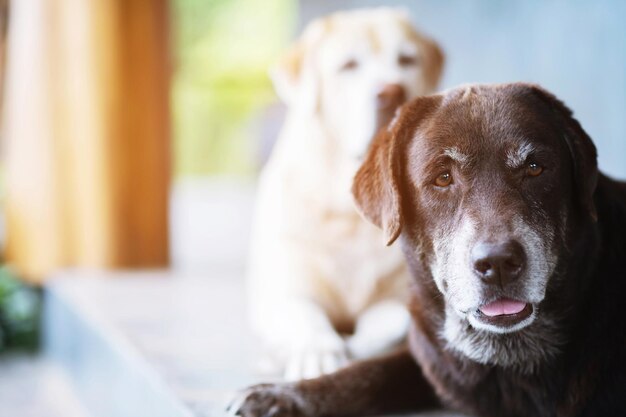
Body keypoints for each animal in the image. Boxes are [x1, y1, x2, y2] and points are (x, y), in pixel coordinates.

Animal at [229, 83, 624, 416]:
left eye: (535, 168)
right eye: (443, 178)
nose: (497, 262)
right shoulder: (430, 355)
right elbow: (372, 371)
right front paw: (283, 394)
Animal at [246, 7, 442, 380]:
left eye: (407, 59)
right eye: (349, 65)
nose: (391, 91)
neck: (350, 214)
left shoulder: (405, 296)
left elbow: (389, 321)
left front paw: (359, 347)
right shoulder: (283, 294)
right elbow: (306, 318)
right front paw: (318, 352)